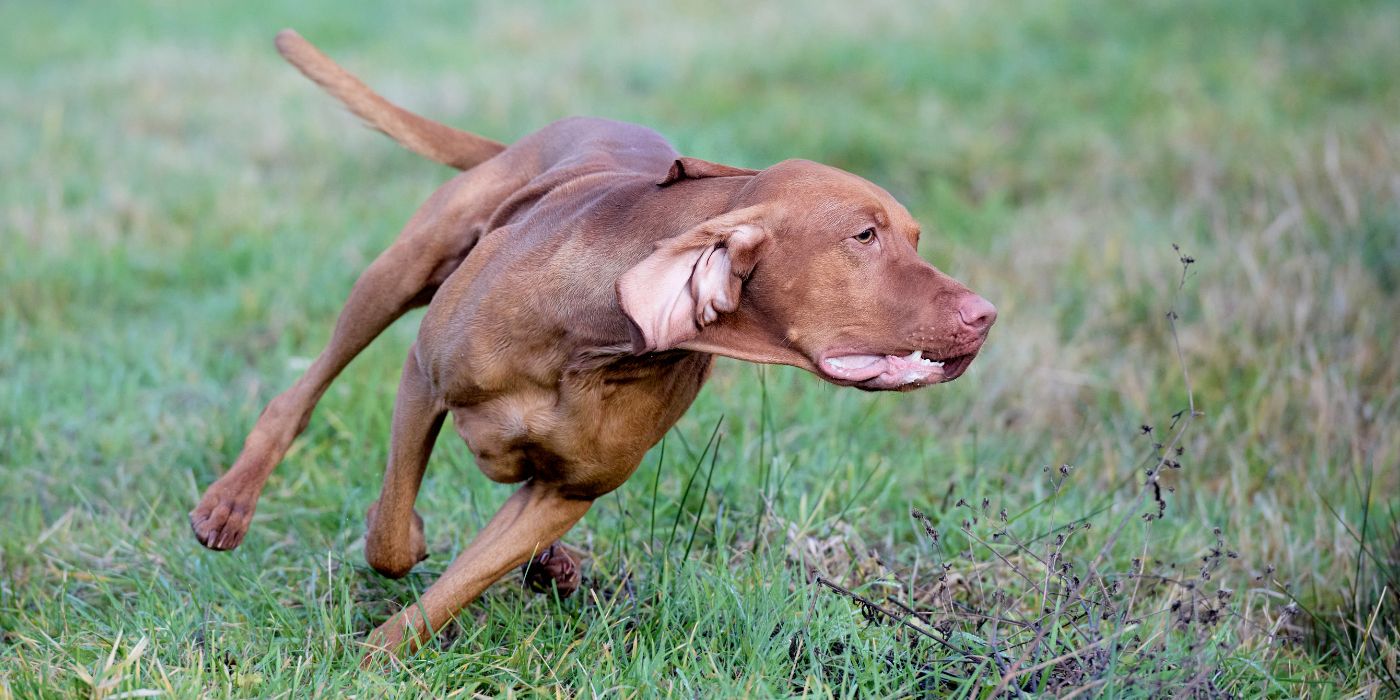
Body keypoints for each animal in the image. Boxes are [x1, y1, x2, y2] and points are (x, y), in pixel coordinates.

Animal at [189, 28, 996, 660]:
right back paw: (229, 504)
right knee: (302, 392)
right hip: (401, 269)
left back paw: (555, 565)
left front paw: (379, 654)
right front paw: (402, 552)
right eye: (863, 236)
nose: (985, 315)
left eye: (915, 237)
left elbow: (460, 581)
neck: (600, 345)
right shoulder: (423, 379)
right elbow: (389, 536)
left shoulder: (568, 491)